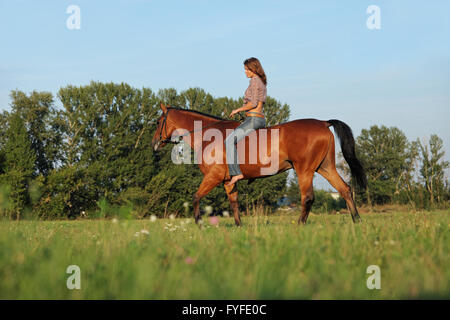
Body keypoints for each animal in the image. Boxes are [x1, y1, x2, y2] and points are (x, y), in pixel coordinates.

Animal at [151, 104, 366, 226]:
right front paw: (239, 226)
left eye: (158, 121)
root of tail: (322, 123)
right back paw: (357, 220)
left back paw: (299, 224)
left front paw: (198, 223)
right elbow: (234, 203)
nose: (154, 143)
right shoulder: (228, 181)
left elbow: (196, 197)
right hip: (325, 167)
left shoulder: (213, 177)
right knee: (345, 189)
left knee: (308, 198)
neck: (209, 135)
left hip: (305, 170)